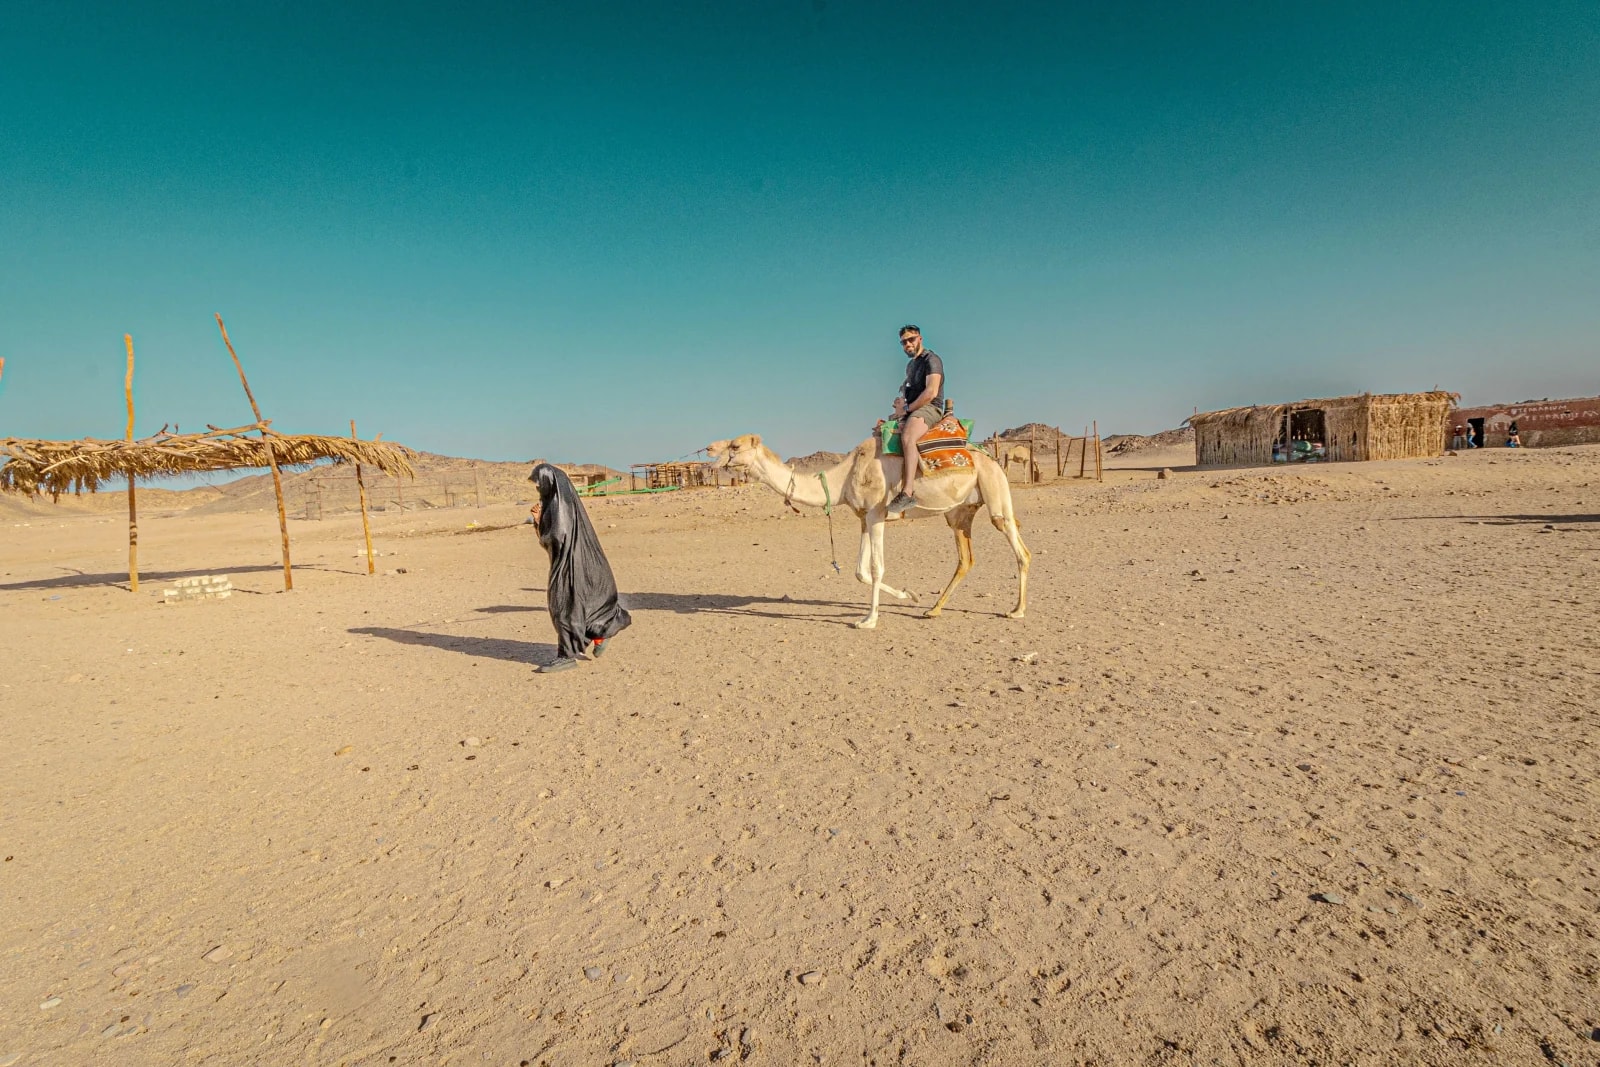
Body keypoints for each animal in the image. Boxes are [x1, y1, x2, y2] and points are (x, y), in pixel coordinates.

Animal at [706, 433, 1031, 629]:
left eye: (735, 446)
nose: (709, 448)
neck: (843, 477)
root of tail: (990, 458)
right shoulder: (863, 517)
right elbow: (859, 571)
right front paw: (909, 595)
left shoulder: (876, 514)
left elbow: (875, 568)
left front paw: (869, 619)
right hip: (959, 511)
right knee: (966, 558)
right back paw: (933, 609)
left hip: (994, 488)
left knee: (1019, 547)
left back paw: (1016, 610)